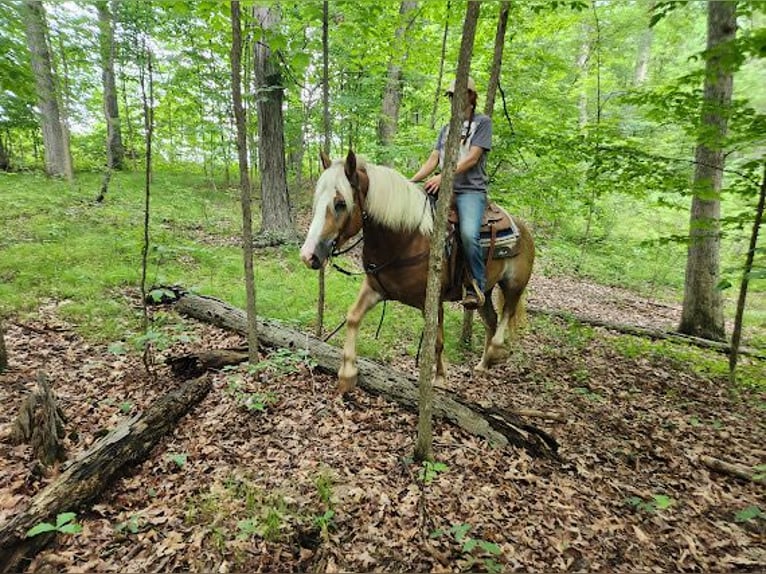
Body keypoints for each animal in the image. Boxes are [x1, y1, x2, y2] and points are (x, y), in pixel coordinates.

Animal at [296, 150, 536, 396]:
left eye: (341, 203)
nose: (308, 255)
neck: (407, 238)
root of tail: (523, 228)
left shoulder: (433, 301)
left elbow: (437, 341)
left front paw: (440, 379)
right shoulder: (375, 288)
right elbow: (353, 317)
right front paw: (347, 374)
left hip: (514, 284)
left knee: (507, 313)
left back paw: (496, 352)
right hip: (485, 292)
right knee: (491, 320)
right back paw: (484, 364)